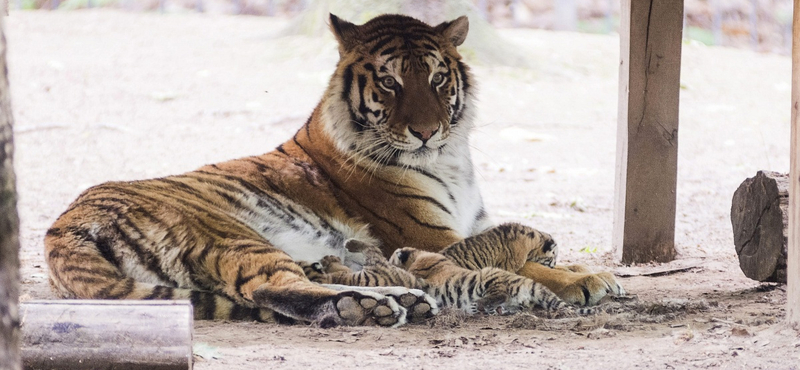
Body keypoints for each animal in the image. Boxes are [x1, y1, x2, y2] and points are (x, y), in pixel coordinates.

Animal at [43, 13, 624, 328]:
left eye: (438, 78)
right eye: (389, 82)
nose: (426, 131)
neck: (450, 157)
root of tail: (63, 226)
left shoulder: (467, 226)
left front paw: (582, 270)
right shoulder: (431, 234)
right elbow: (527, 263)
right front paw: (588, 280)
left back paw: (386, 301)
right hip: (230, 233)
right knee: (274, 286)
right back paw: (374, 305)